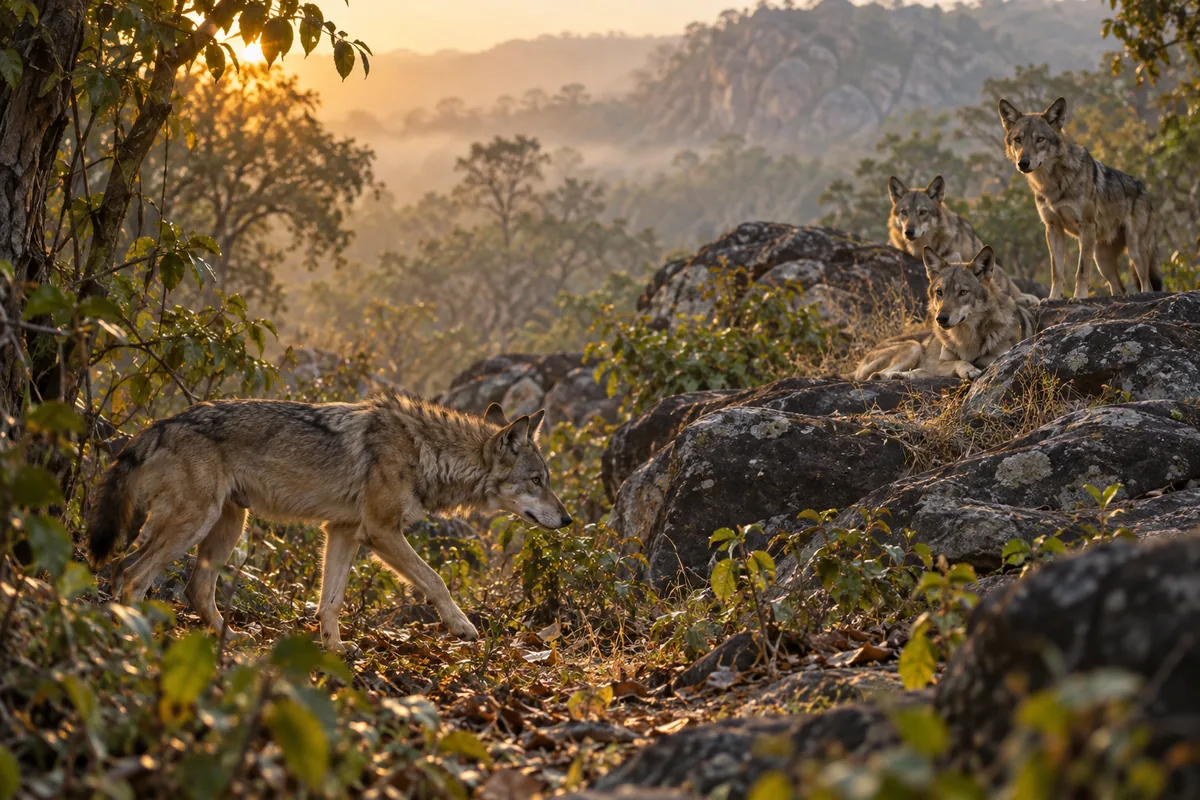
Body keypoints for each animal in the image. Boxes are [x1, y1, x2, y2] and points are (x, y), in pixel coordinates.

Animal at [86, 394, 571, 651]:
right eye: (537, 481)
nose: (567, 519)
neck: (426, 453)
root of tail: (161, 424)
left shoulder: (343, 532)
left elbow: (331, 600)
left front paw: (334, 648)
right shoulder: (381, 532)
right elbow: (436, 581)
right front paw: (462, 627)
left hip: (228, 524)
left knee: (185, 587)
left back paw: (232, 641)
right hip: (197, 524)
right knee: (132, 575)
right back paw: (137, 640)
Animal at [855, 246, 1035, 380]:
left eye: (963, 292)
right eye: (939, 292)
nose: (941, 318)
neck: (966, 339)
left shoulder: (998, 357)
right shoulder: (939, 364)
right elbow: (958, 362)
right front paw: (968, 369)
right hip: (913, 347)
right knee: (873, 376)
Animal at [888, 175, 1039, 306]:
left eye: (923, 212)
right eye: (904, 212)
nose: (909, 232)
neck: (919, 248)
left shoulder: (955, 256)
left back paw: (1027, 298)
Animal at [998, 96, 1163, 301]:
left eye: (1040, 139)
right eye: (1018, 140)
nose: (1023, 163)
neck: (1052, 184)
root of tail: (1145, 189)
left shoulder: (1086, 226)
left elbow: (1081, 270)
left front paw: (1079, 297)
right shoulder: (1053, 229)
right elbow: (1057, 272)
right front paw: (1053, 298)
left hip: (1134, 249)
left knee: (1146, 283)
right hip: (1101, 259)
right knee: (1119, 288)